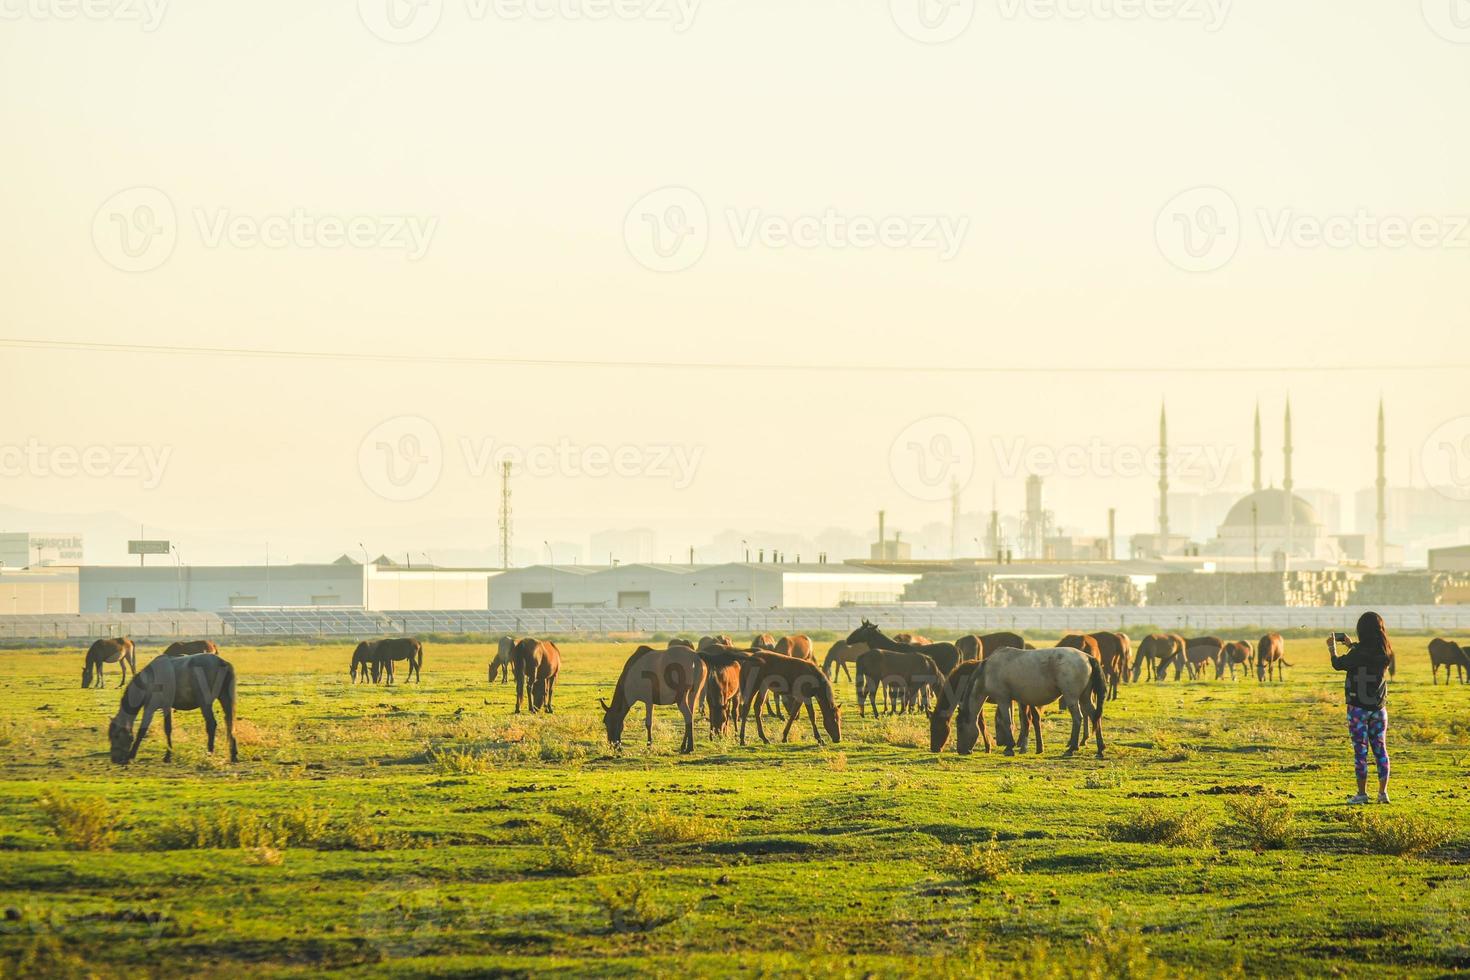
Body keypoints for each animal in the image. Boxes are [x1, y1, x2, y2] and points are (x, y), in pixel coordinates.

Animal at [107, 655, 238, 769]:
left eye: (116, 736)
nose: (114, 759)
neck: (149, 680)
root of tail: (221, 662)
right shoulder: (166, 707)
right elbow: (168, 729)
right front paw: (168, 755)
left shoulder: (150, 707)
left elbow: (142, 731)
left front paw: (131, 755)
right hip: (225, 699)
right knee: (229, 722)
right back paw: (233, 755)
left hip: (205, 703)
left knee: (211, 724)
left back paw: (209, 753)